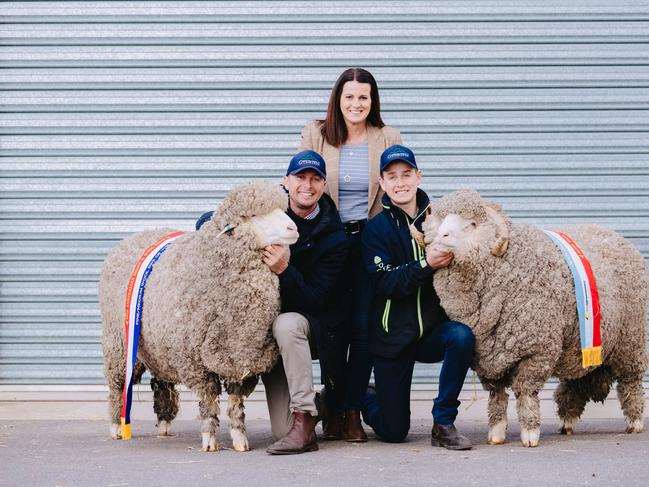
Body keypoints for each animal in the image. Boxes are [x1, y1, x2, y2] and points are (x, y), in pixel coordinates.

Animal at [99, 182, 298, 454]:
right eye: (255, 215)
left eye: (282, 209)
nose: (293, 229)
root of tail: (129, 240)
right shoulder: (195, 362)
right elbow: (208, 402)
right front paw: (209, 439)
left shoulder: (241, 359)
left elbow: (235, 404)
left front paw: (239, 439)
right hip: (118, 343)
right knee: (117, 385)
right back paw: (116, 427)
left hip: (159, 343)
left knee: (161, 382)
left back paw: (163, 425)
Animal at [418, 189, 644, 448]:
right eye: (438, 222)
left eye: (472, 224)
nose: (442, 236)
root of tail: (614, 235)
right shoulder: (487, 356)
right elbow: (497, 397)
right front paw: (496, 433)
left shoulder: (537, 351)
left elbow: (525, 393)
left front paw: (529, 433)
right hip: (579, 343)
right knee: (574, 382)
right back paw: (567, 422)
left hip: (631, 342)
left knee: (630, 383)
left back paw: (635, 423)